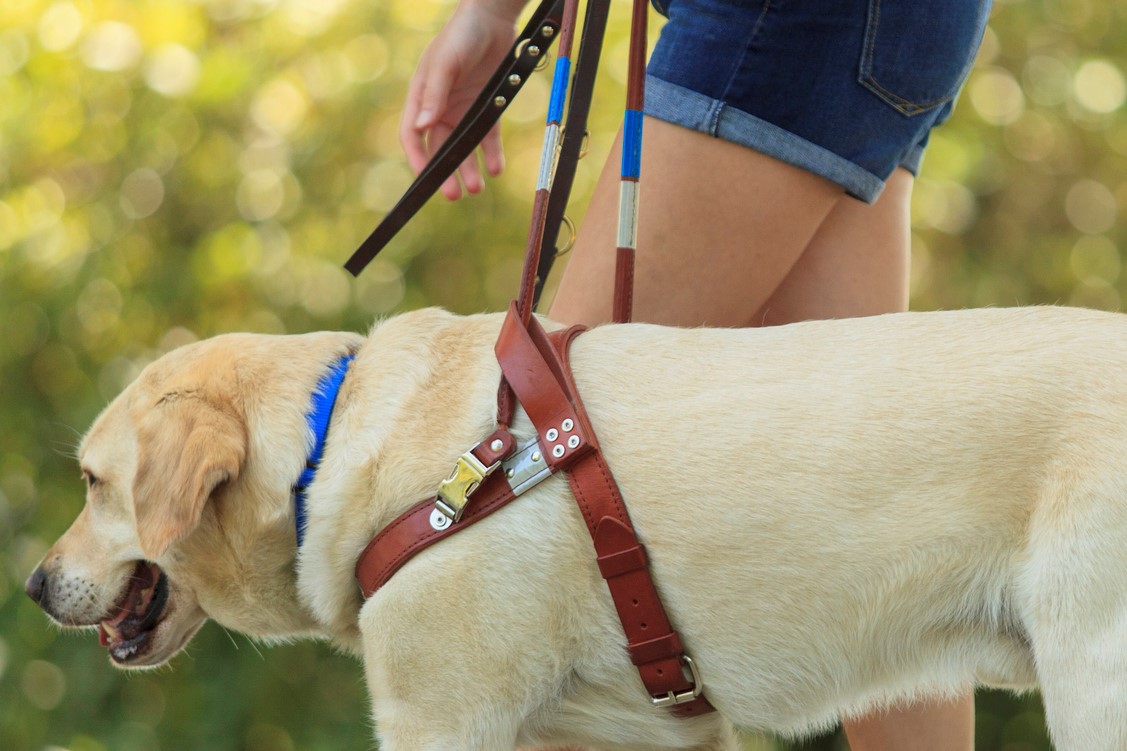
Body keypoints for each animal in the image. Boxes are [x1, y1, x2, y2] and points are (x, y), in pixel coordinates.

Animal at [21, 306, 1127, 748]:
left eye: (92, 483)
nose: (32, 583)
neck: (326, 448)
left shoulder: (439, 720)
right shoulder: (644, 734)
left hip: (1090, 680)